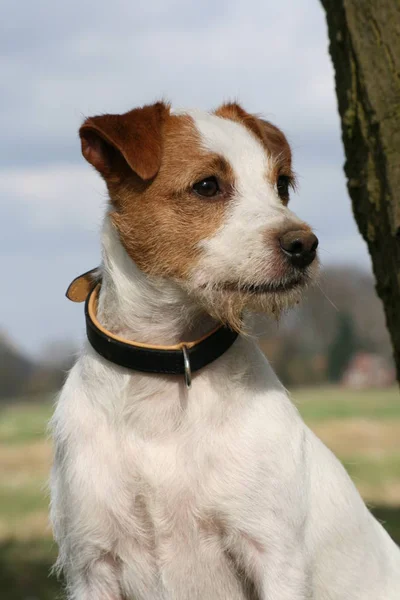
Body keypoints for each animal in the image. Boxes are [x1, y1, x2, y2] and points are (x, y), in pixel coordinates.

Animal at [50, 101, 400, 596]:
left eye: (281, 185)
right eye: (207, 186)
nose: (305, 245)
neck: (167, 372)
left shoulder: (273, 554)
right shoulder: (91, 564)